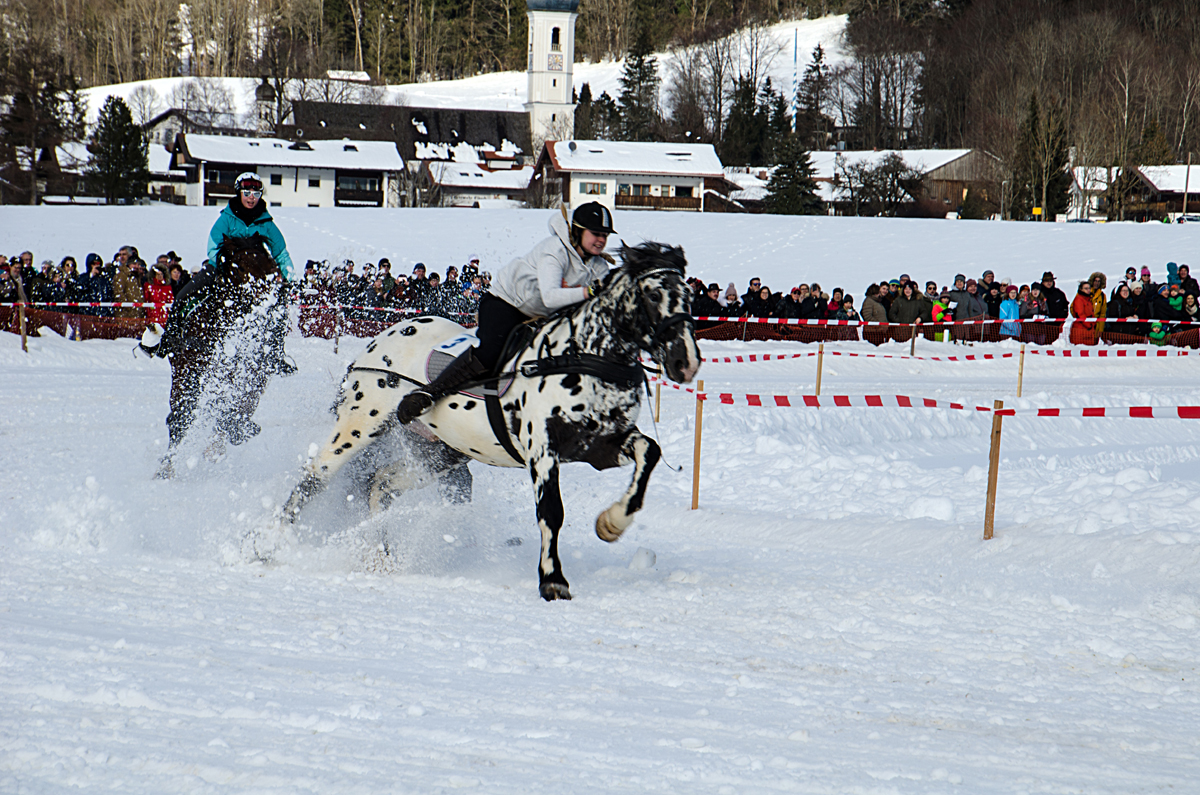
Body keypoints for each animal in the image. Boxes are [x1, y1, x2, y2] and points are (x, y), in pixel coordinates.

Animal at [156, 231, 282, 480]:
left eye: (271, 262)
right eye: (240, 267)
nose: (271, 293)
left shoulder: (248, 373)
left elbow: (233, 408)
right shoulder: (188, 371)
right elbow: (180, 417)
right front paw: (165, 470)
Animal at [280, 242, 700, 605]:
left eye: (687, 295)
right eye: (653, 296)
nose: (686, 362)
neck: (584, 355)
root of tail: (379, 339)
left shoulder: (601, 446)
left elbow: (650, 451)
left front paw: (612, 522)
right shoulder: (542, 451)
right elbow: (551, 512)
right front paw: (553, 580)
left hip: (439, 453)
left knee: (381, 486)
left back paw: (382, 554)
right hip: (359, 425)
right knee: (316, 477)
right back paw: (273, 544)